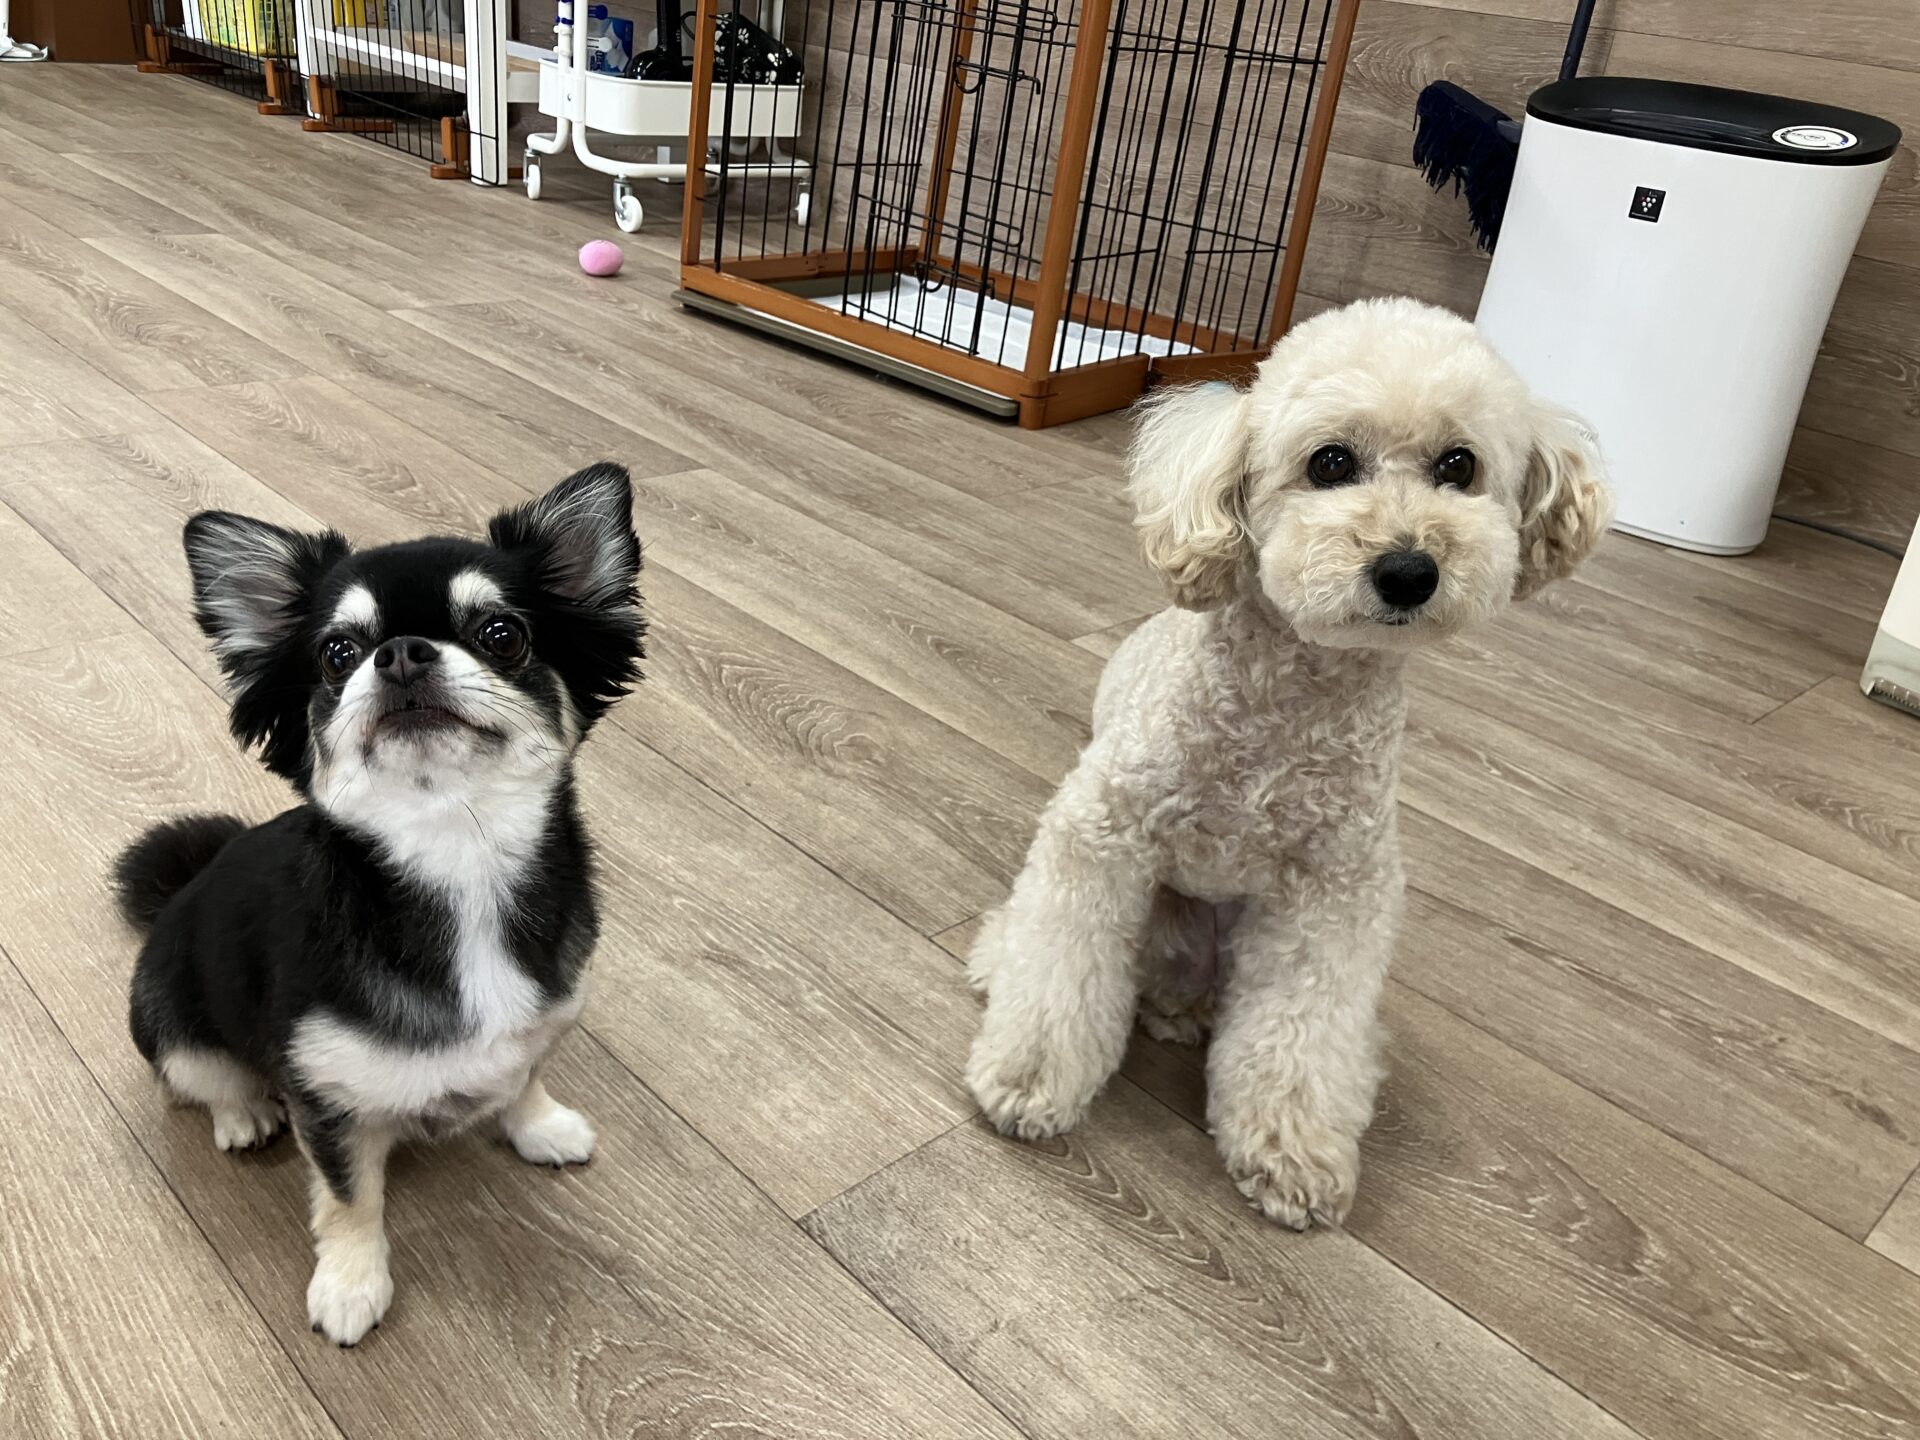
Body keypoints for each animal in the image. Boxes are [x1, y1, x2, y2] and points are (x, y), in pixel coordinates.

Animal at [116, 463, 644, 1346]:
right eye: (338, 654)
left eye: (502, 635)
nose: (399, 654)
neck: (457, 854)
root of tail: (181, 892)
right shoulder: (327, 1105)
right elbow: (349, 1197)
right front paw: (351, 1284)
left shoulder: (546, 1017)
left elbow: (524, 1073)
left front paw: (539, 1127)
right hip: (172, 1022)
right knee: (202, 1077)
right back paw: (240, 1114)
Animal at [964, 297, 1611, 1228]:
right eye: (1330, 462)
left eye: (1459, 465)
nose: (1408, 570)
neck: (1292, 701)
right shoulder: (1103, 833)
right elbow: (1061, 970)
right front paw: (1027, 1080)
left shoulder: (1335, 897)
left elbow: (1302, 1033)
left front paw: (1291, 1152)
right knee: (1037, 940)